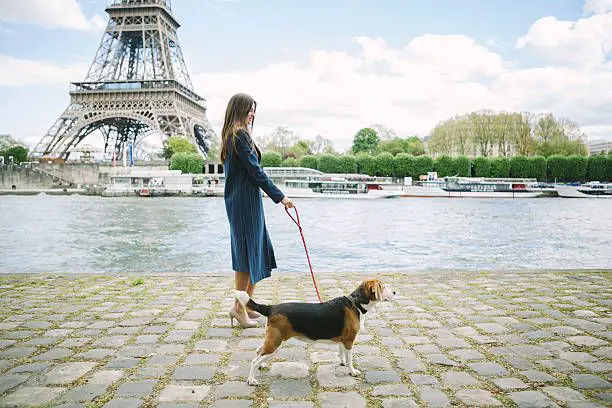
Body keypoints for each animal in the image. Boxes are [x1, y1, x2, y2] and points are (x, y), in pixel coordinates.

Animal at [234, 278, 396, 386]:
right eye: (383, 286)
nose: (395, 291)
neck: (356, 303)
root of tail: (271, 307)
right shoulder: (350, 341)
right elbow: (350, 358)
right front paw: (352, 371)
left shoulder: (343, 341)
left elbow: (342, 353)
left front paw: (342, 363)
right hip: (276, 343)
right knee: (254, 360)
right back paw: (251, 380)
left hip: (272, 340)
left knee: (258, 351)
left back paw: (262, 366)